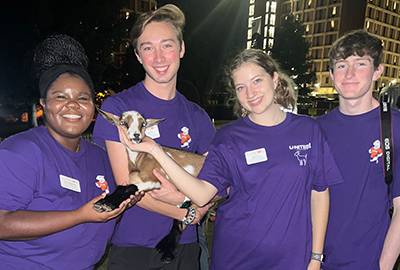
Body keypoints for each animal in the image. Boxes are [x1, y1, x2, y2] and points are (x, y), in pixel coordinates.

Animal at [94, 108, 205, 264]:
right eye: (123, 123)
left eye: (144, 124)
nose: (136, 136)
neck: (140, 161)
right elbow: (124, 187)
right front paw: (104, 202)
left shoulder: (155, 180)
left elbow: (129, 187)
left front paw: (105, 204)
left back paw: (168, 252)